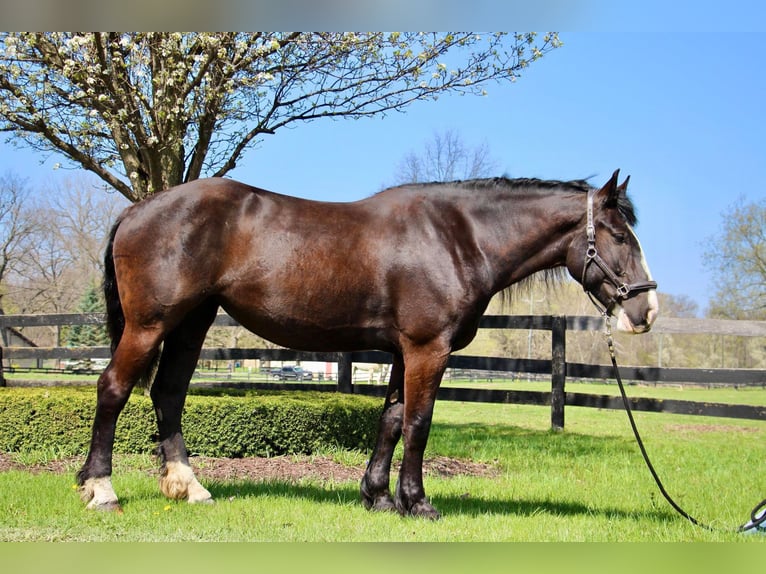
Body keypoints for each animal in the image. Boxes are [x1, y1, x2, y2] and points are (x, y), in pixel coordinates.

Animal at [76, 169, 660, 520]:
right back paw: (101, 489)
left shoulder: (405, 352)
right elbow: (419, 424)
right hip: (150, 324)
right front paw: (418, 503)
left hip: (191, 324)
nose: (646, 310)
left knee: (168, 394)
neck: (458, 237)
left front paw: (377, 496)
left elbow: (391, 421)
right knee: (114, 389)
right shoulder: (428, 349)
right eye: (620, 236)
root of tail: (140, 208)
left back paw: (189, 486)